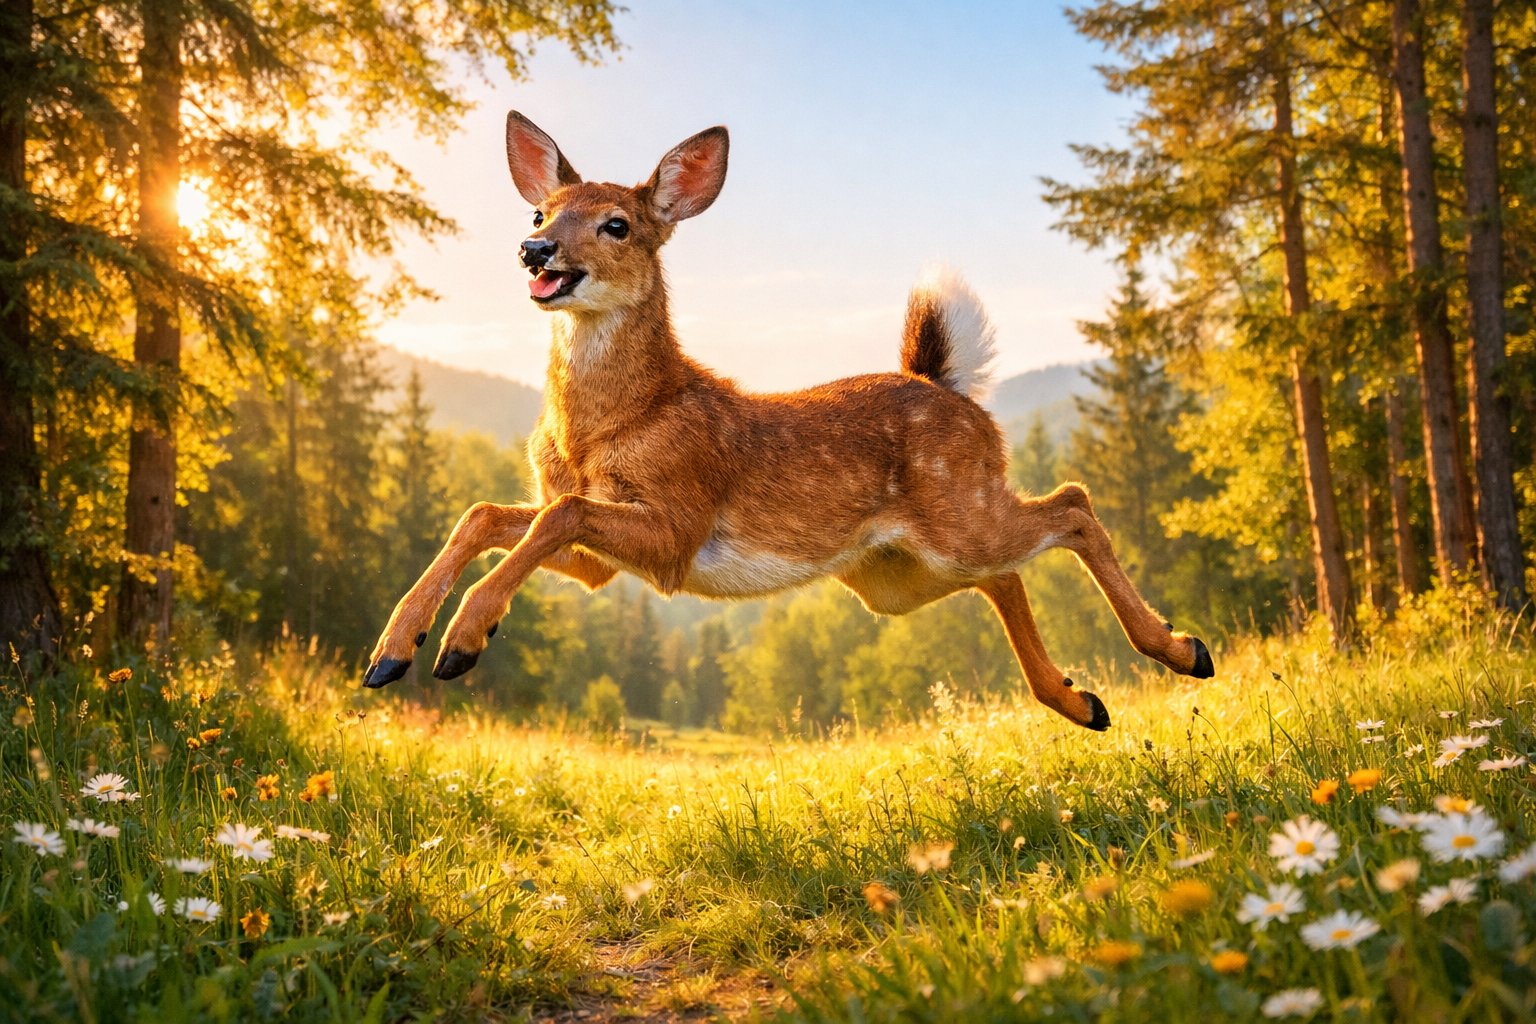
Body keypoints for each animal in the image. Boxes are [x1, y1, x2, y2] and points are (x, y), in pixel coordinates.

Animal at [361, 111, 1216, 731]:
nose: (534, 249)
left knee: (1071, 505)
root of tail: (948, 388)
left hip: (958, 516)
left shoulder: (678, 525)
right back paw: (1084, 701)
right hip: (899, 574)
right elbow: (487, 513)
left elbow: (558, 511)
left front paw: (462, 642)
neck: (607, 425)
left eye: (616, 224)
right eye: (540, 208)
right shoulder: (602, 562)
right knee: (1007, 572)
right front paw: (392, 652)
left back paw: (1182, 649)